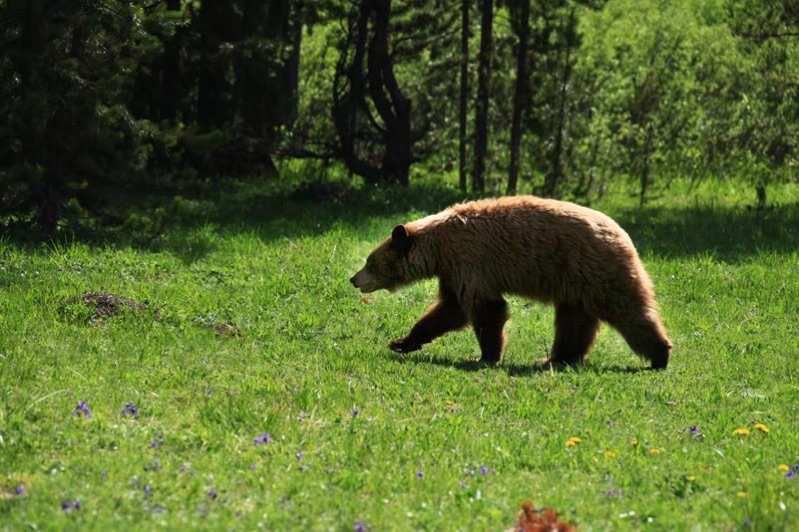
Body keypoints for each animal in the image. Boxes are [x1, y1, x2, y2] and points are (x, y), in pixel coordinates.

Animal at [354, 196, 672, 370]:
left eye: (370, 262)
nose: (354, 279)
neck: (439, 247)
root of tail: (624, 234)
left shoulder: (472, 261)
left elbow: (486, 309)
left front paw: (487, 356)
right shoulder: (454, 271)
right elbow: (449, 310)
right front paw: (402, 342)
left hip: (595, 270)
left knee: (627, 310)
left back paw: (660, 354)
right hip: (574, 285)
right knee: (574, 321)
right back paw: (556, 359)